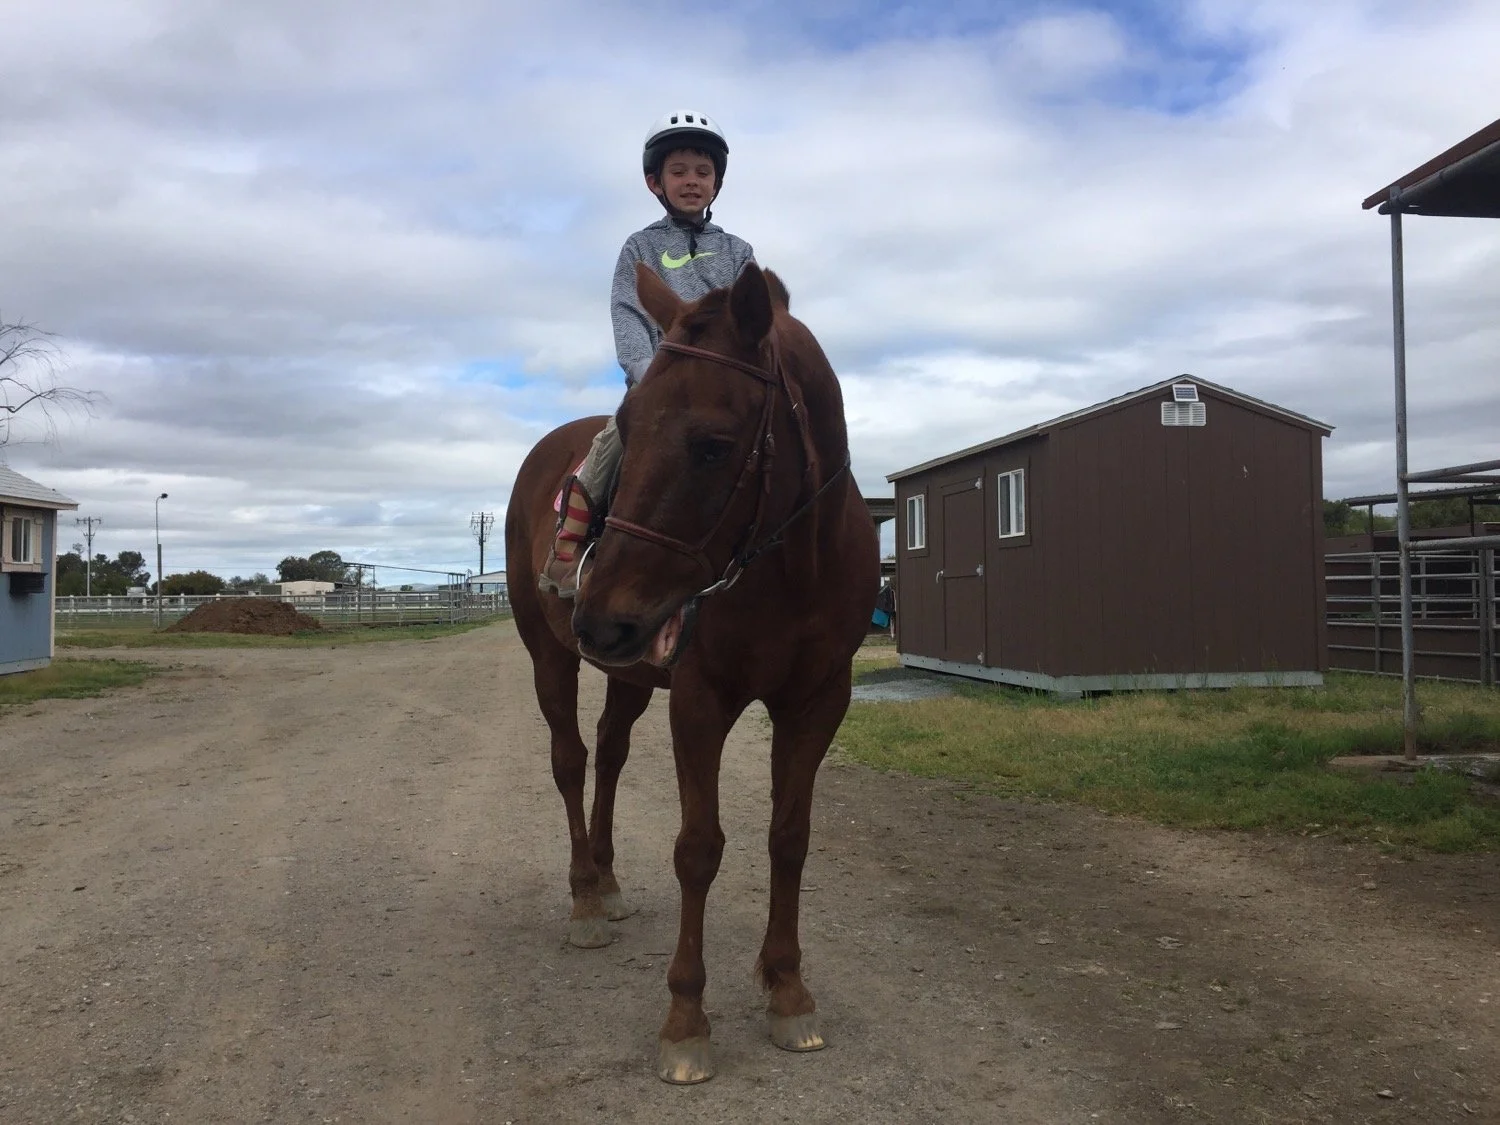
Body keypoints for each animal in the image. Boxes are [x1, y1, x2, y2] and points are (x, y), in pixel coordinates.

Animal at [505, 260, 879, 1084]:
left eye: (713, 444)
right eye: (630, 422)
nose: (599, 615)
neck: (791, 565)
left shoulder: (817, 700)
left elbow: (789, 836)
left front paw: (788, 990)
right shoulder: (702, 700)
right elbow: (698, 848)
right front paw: (685, 1019)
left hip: (628, 672)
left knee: (610, 753)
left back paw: (609, 881)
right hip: (551, 658)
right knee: (570, 759)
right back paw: (585, 900)